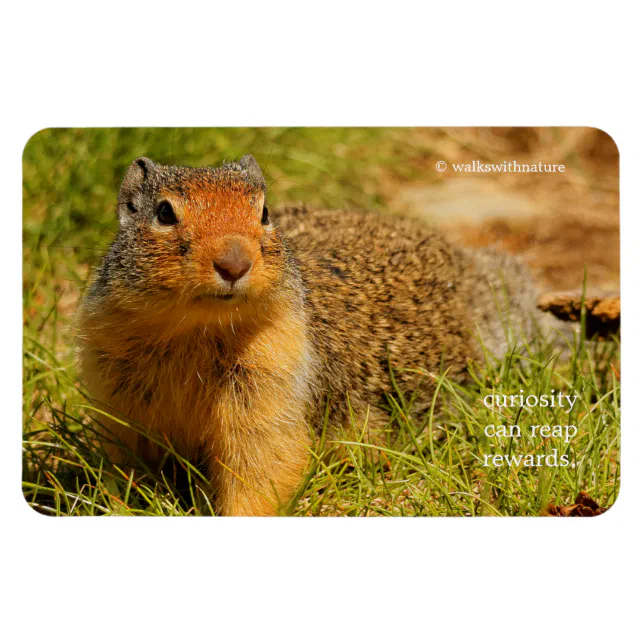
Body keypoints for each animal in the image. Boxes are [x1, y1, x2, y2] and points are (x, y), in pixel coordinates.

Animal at [78, 153, 552, 516]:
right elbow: (128, 468)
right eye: (164, 212)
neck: (193, 329)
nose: (234, 263)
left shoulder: (271, 388)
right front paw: (122, 507)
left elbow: (263, 469)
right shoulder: (120, 398)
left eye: (264, 213)